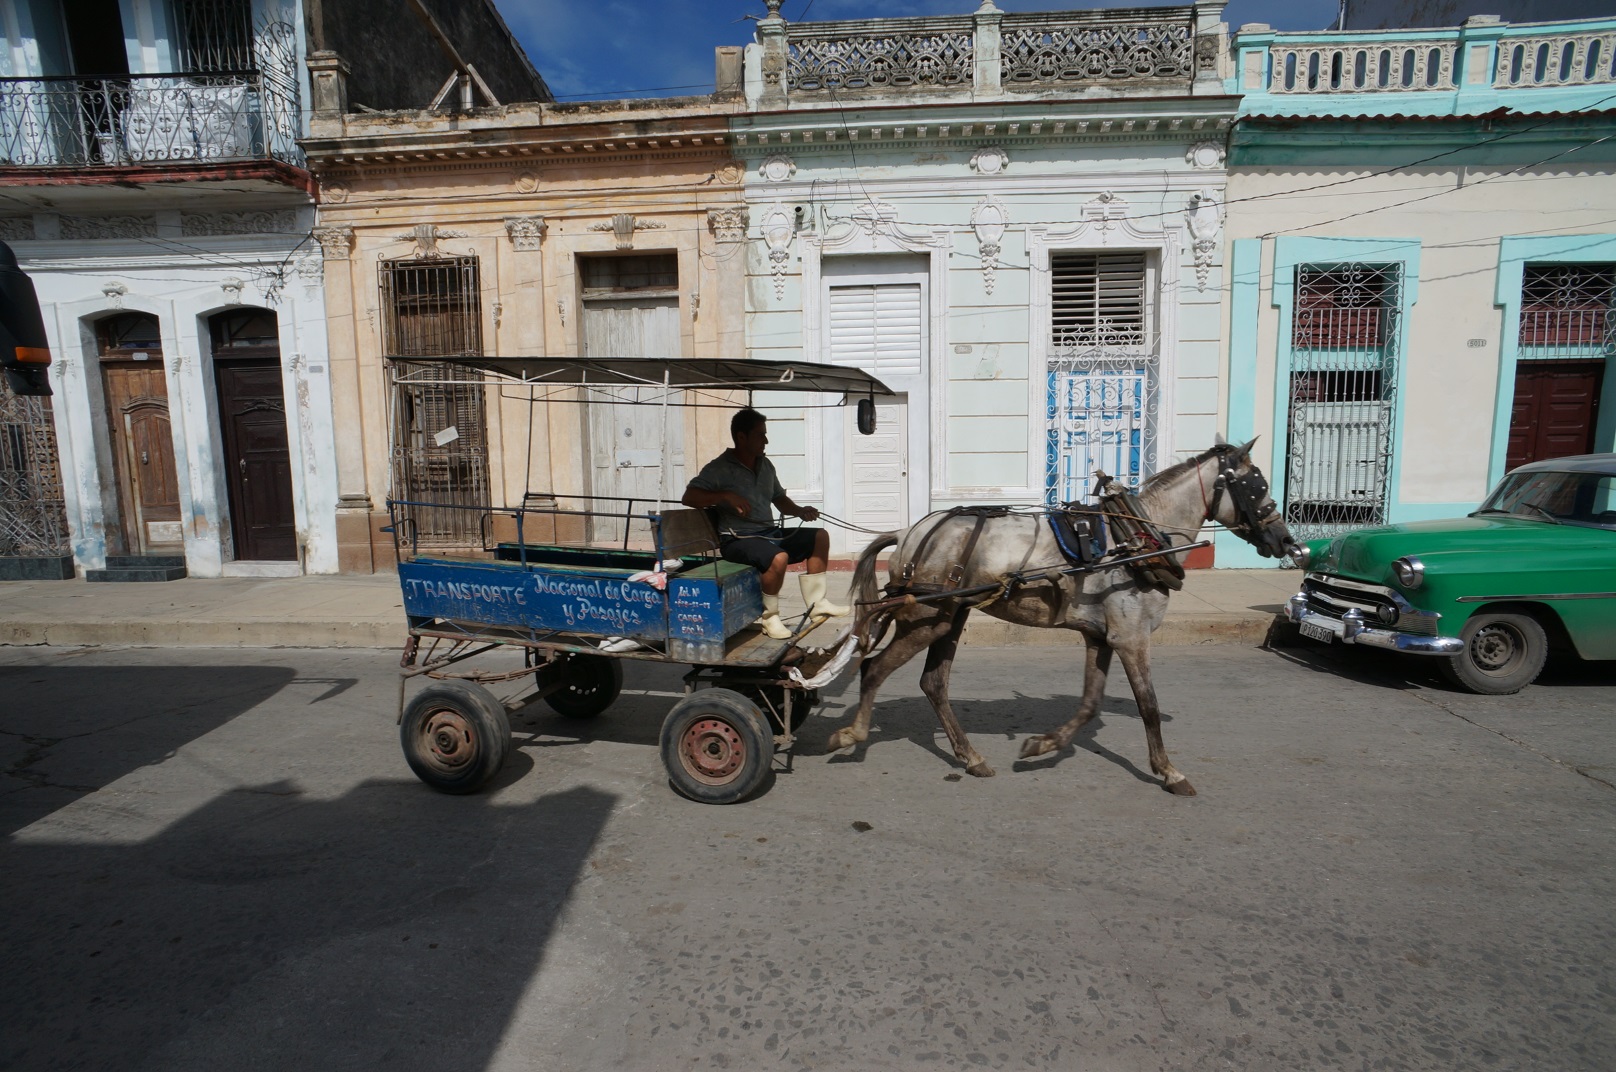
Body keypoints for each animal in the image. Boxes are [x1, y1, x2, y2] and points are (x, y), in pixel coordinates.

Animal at [828, 440, 1299, 795]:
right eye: (1255, 486)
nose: (1286, 540)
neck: (1138, 538)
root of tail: (907, 533)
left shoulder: (1102, 637)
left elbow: (1090, 703)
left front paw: (1043, 744)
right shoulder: (1131, 637)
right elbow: (1148, 704)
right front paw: (1168, 771)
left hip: (949, 617)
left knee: (933, 683)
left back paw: (970, 756)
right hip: (924, 617)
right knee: (874, 669)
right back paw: (852, 734)